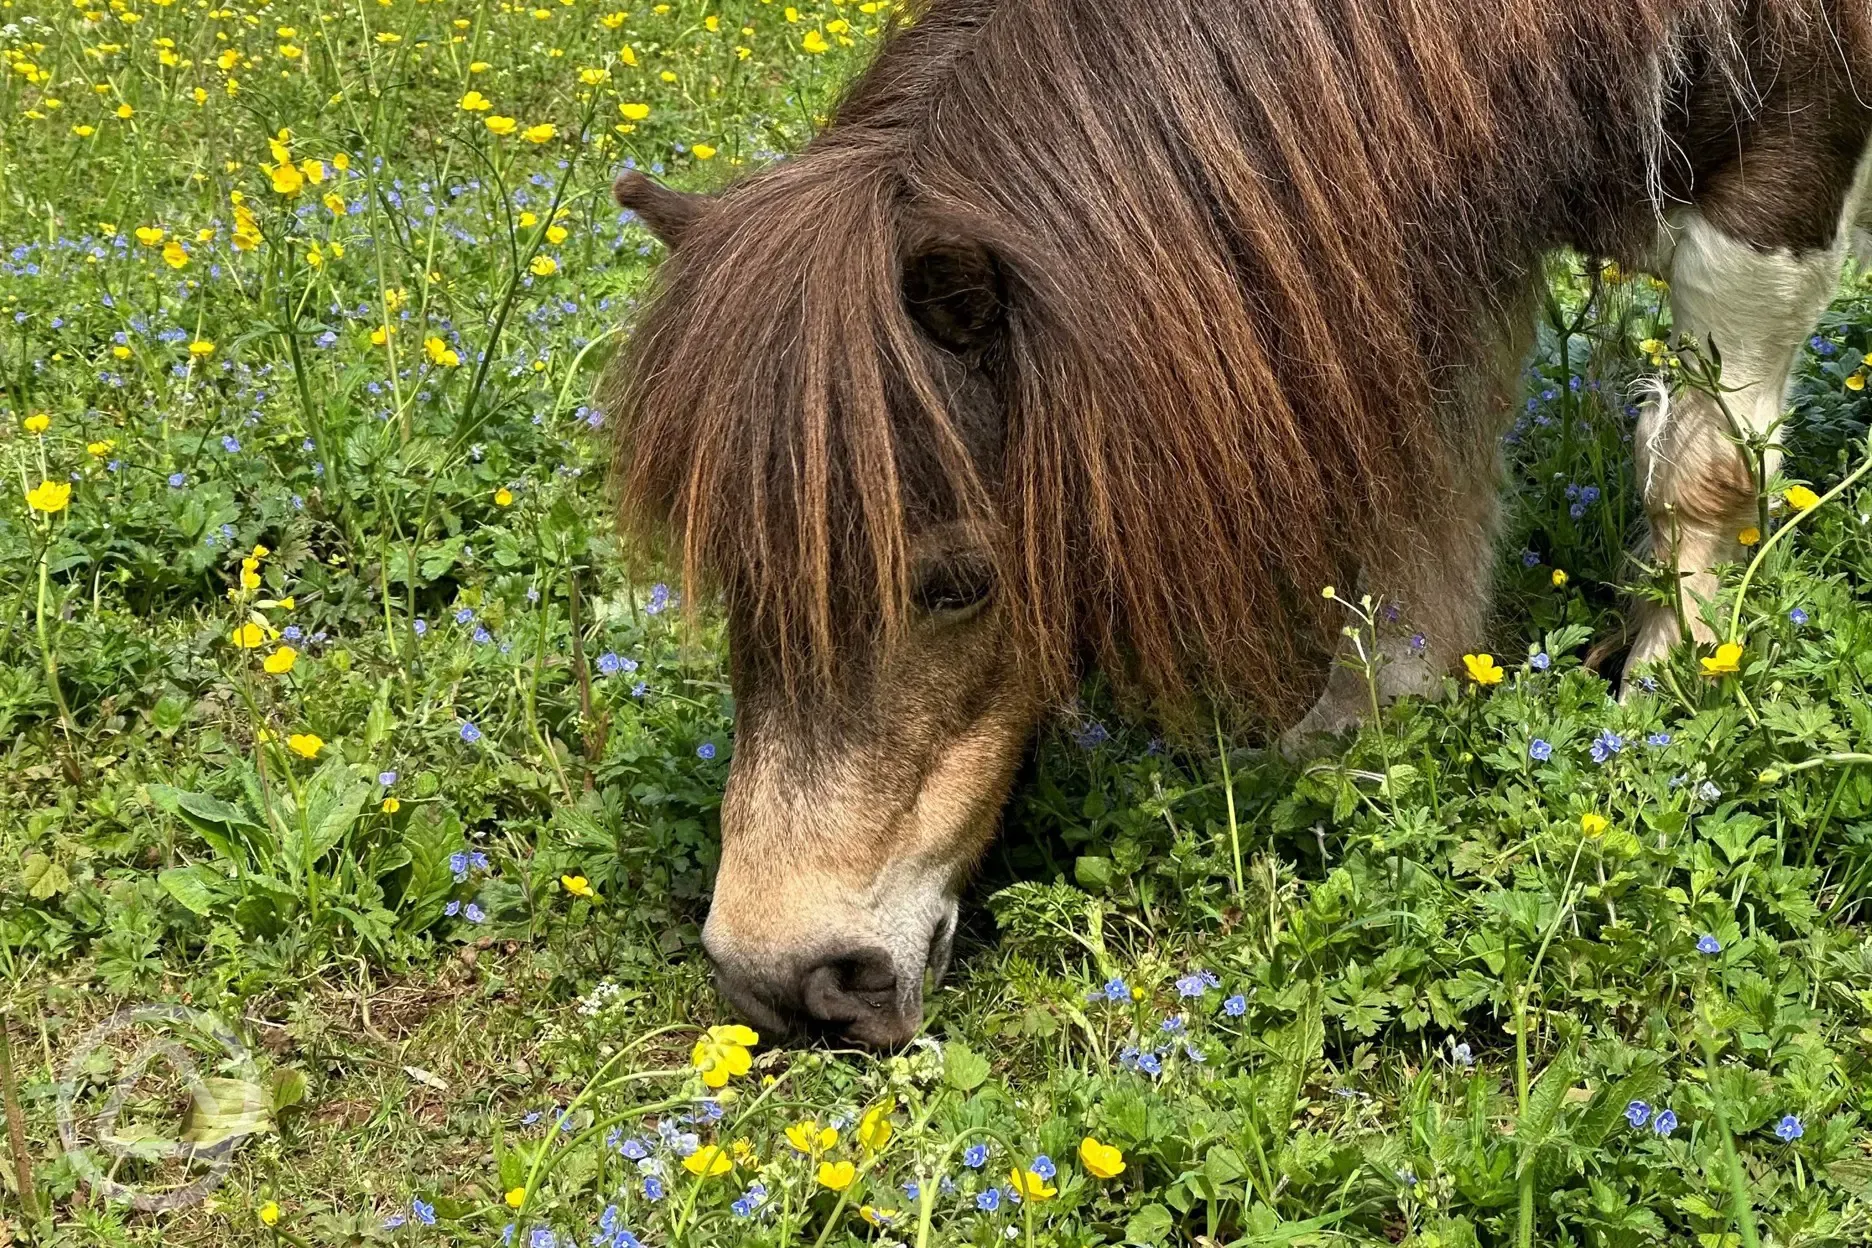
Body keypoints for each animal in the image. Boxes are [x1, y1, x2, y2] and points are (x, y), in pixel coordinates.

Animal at [602, 0, 1872, 1047]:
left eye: (958, 583)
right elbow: (1423, 471)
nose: (787, 980)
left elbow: (1702, 471)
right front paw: (1371, 720)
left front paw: (1667, 705)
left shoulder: (1785, 175)